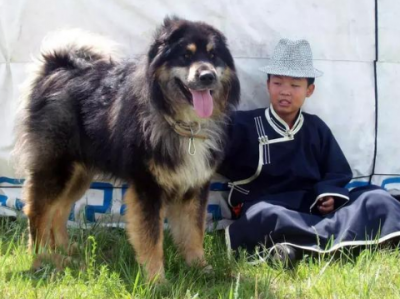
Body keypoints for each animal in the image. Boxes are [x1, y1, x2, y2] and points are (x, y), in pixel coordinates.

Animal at [14, 17, 241, 282]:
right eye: (185, 55)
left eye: (214, 56)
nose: (207, 76)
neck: (183, 125)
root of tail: (54, 68)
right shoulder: (148, 187)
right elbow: (152, 238)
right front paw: (156, 280)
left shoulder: (195, 185)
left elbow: (193, 232)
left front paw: (201, 269)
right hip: (55, 167)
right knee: (38, 212)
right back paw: (42, 259)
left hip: (79, 174)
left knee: (59, 210)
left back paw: (65, 250)